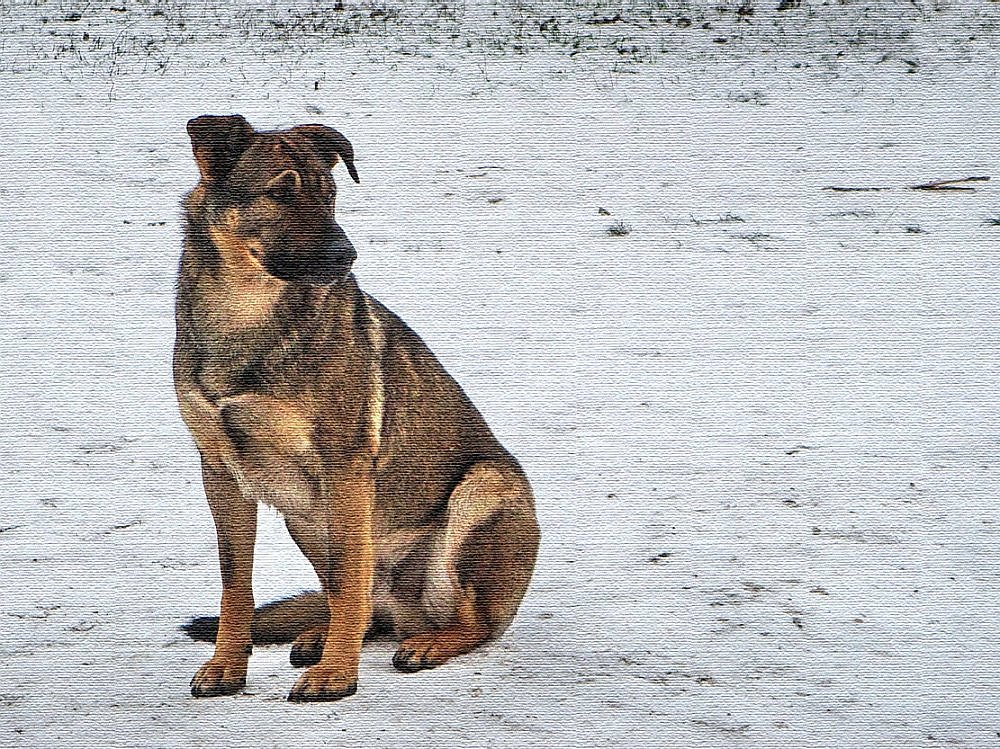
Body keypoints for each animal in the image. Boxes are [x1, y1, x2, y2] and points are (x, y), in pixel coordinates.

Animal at [176, 114, 544, 700]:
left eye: (329, 196)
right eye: (281, 192)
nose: (347, 256)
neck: (245, 314)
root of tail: (408, 612)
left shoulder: (344, 466)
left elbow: (351, 582)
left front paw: (337, 675)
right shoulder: (221, 475)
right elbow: (237, 586)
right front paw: (227, 665)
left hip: (482, 487)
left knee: (470, 621)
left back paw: (426, 644)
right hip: (304, 515)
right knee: (365, 604)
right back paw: (320, 635)